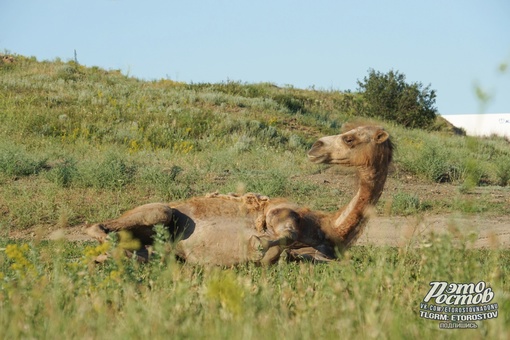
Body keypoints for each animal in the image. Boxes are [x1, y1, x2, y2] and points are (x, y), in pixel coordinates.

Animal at [85, 123, 392, 264]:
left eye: (350, 138)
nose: (315, 146)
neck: (330, 226)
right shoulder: (280, 211)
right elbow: (283, 235)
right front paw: (259, 245)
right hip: (158, 211)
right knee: (97, 227)